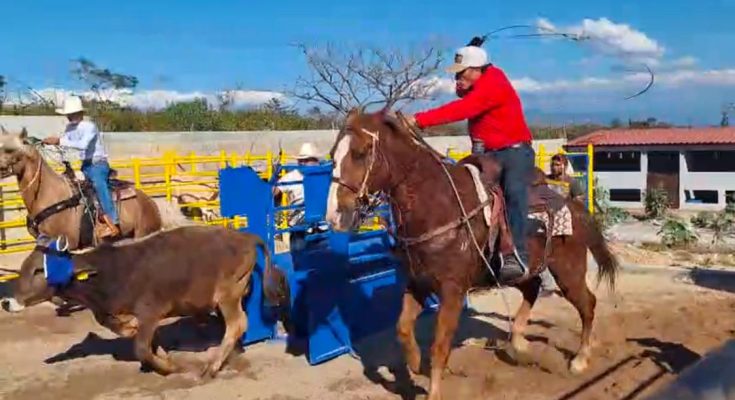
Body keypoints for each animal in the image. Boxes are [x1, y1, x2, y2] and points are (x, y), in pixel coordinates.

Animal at [328, 110, 620, 400]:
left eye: (360, 152)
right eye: (333, 154)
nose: (335, 215)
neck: (437, 206)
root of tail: (573, 205)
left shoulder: (452, 290)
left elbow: (439, 346)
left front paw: (433, 390)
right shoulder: (417, 283)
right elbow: (402, 328)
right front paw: (416, 364)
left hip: (567, 271)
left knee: (587, 304)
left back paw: (580, 358)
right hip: (522, 270)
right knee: (533, 288)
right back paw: (519, 342)